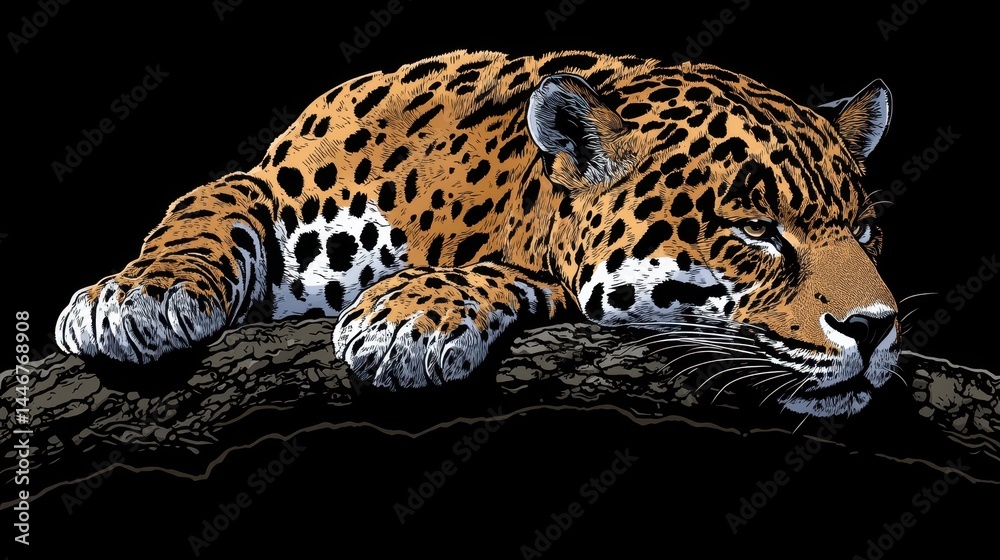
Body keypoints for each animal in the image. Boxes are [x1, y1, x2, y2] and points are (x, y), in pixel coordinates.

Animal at [55, 49, 898, 418]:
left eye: (864, 231)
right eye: (756, 230)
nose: (877, 328)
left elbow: (512, 273)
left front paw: (408, 319)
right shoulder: (270, 176)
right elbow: (201, 208)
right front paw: (135, 297)